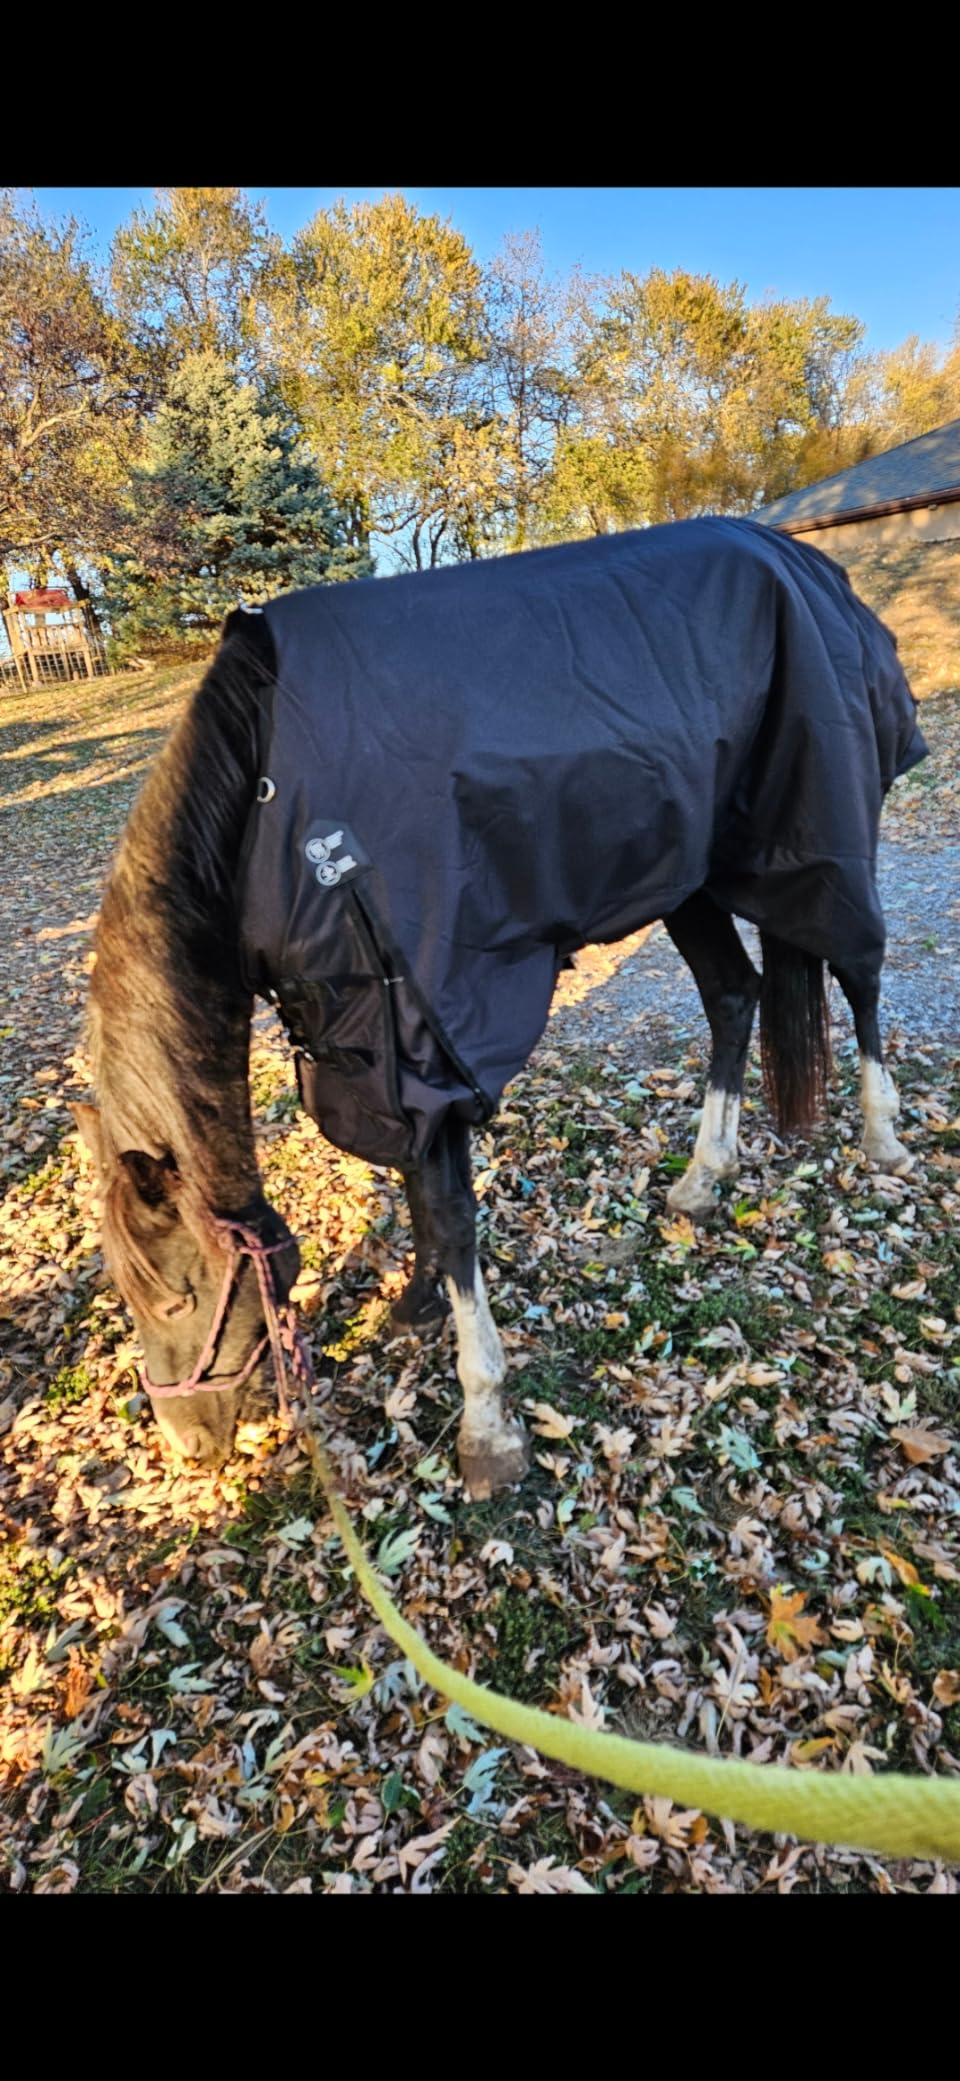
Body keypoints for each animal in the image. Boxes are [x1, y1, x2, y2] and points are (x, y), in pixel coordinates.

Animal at [73, 516, 927, 1500]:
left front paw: (487, 1423)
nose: (189, 1444)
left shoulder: (424, 1014)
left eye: (176, 1294)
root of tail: (810, 567)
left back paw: (882, 1137)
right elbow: (414, 1183)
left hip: (819, 836)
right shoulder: (369, 1037)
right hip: (688, 872)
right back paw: (702, 1180)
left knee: (860, 969)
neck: (267, 795)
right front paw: (413, 1305)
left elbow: (449, 1213)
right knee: (734, 996)